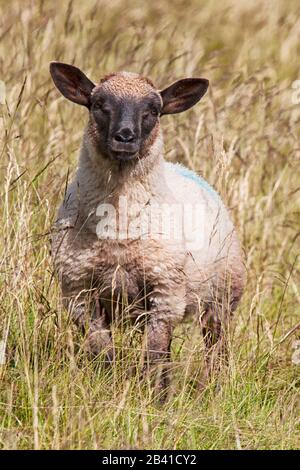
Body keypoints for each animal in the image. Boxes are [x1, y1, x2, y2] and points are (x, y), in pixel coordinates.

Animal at [49, 61, 246, 392]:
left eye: (154, 110)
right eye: (98, 104)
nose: (125, 137)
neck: (117, 228)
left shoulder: (166, 292)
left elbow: (155, 354)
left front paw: (157, 396)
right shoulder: (79, 293)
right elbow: (102, 349)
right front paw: (108, 383)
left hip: (221, 296)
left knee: (215, 346)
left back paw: (212, 388)